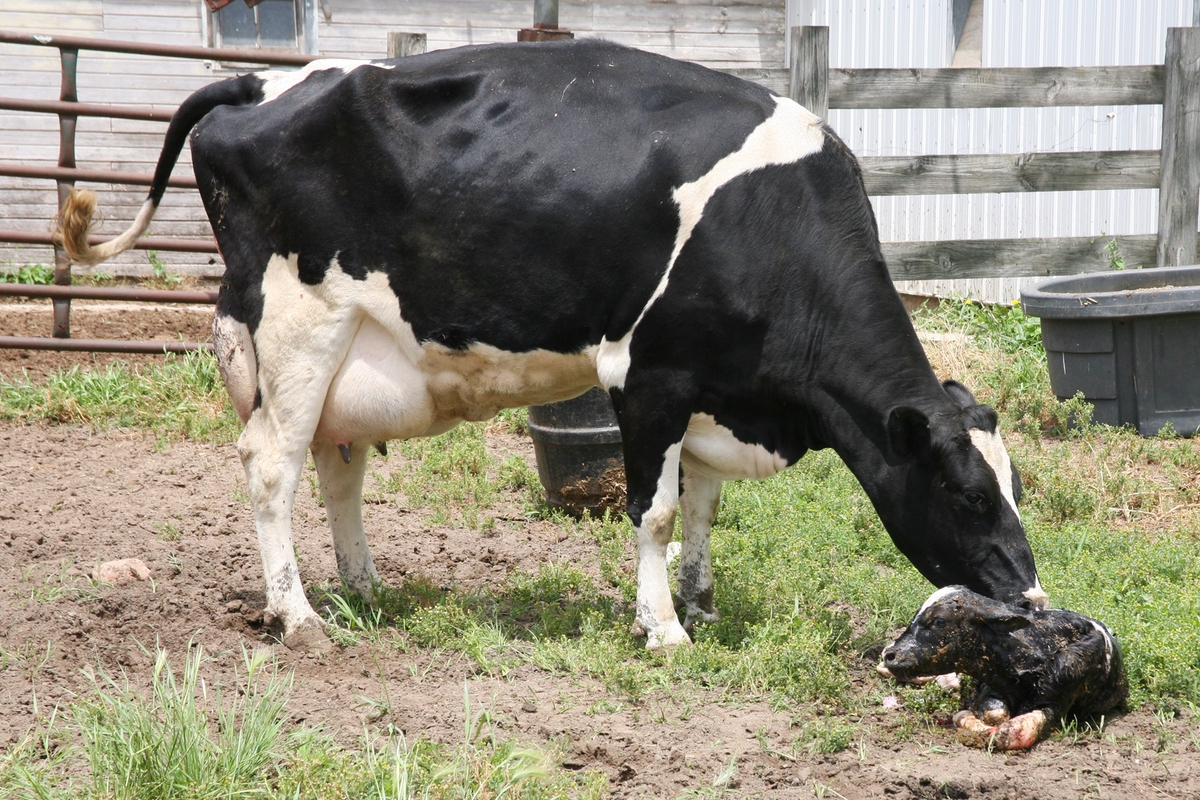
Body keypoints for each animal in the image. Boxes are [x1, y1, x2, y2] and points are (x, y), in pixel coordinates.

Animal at [51, 37, 1046, 652]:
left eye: (1014, 486)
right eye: (965, 495)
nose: (1031, 597)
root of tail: (261, 83)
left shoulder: (715, 386)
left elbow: (703, 506)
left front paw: (701, 603)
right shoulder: (650, 376)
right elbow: (654, 510)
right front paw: (662, 628)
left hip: (350, 349)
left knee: (338, 472)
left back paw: (367, 587)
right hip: (299, 327)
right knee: (271, 465)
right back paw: (297, 615)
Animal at [873, 587, 1123, 753]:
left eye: (940, 621)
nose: (890, 654)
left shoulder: (1057, 697)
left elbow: (1009, 733)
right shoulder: (989, 687)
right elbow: (994, 713)